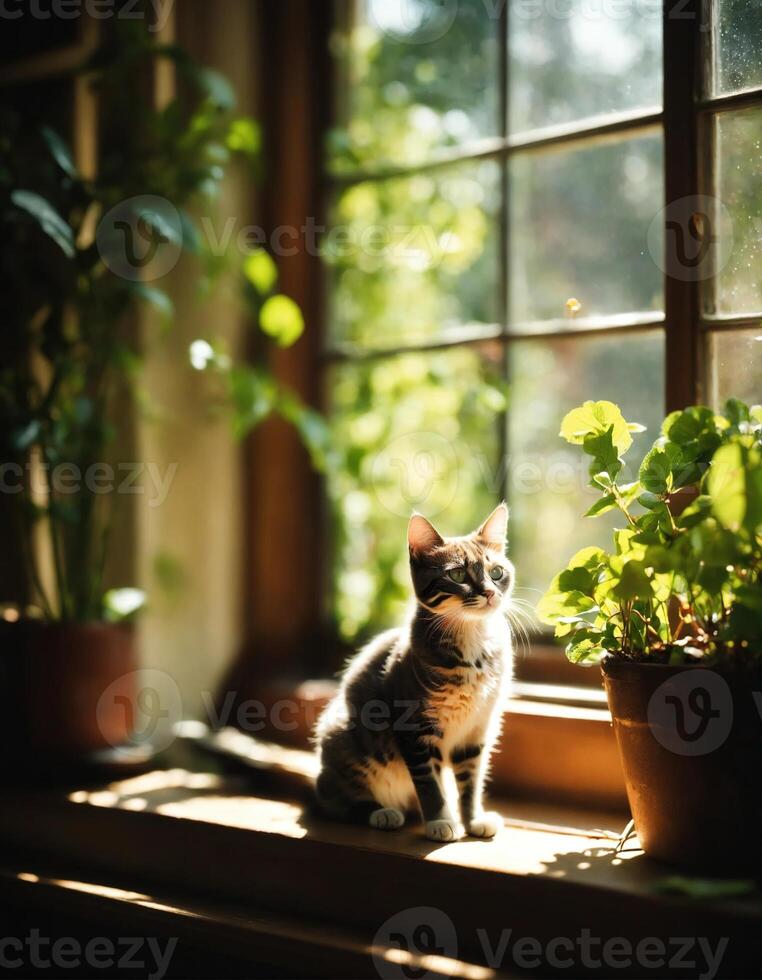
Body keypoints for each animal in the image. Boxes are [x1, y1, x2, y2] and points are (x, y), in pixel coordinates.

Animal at [312, 506, 512, 844]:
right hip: (344, 737)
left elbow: (471, 780)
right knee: (332, 800)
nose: (489, 592)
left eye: (496, 572)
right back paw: (381, 812)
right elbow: (429, 783)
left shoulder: (478, 727)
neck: (472, 642)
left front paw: (473, 819)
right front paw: (440, 822)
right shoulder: (413, 727)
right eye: (457, 575)